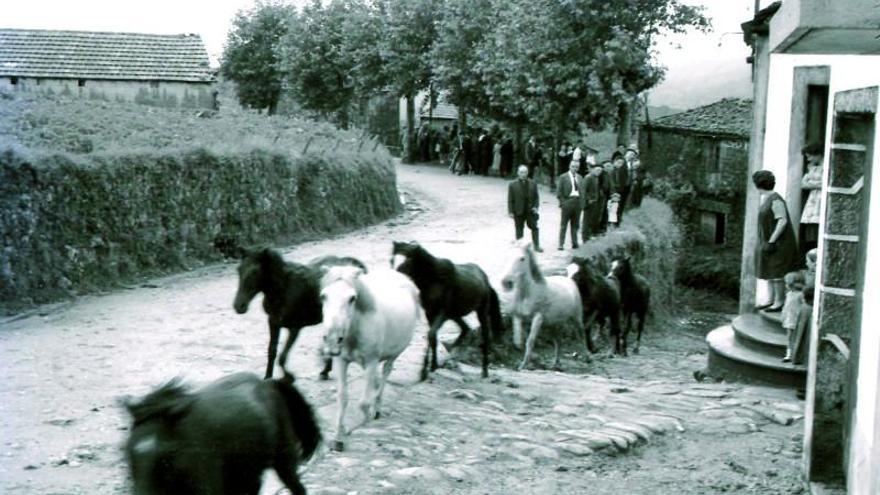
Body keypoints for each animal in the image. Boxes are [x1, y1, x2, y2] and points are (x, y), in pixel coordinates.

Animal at [232, 246, 366, 382]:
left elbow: (282, 357)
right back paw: (325, 371)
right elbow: (272, 351)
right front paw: (267, 377)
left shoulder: (294, 328)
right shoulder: (273, 322)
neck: (283, 289)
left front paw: (289, 376)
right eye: (239, 270)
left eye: (255, 272)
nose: (238, 306)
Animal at [320, 266, 422, 452]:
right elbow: (342, 398)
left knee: (386, 373)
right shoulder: (341, 362)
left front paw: (364, 419)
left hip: (392, 355)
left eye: (352, 298)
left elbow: (363, 403)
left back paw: (377, 408)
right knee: (375, 379)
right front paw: (338, 436)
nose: (332, 339)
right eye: (324, 296)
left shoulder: (371, 361)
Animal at [390, 242, 502, 382]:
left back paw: (484, 371)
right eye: (396, 258)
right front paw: (431, 367)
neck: (431, 280)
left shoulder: (442, 312)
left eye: (410, 257)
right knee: (466, 329)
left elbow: (431, 335)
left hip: (481, 311)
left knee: (485, 337)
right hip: (456, 314)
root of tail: (488, 283)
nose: (397, 272)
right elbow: (432, 338)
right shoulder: (430, 312)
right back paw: (452, 353)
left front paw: (425, 370)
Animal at [502, 242, 584, 370]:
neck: (528, 293)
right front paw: (533, 359)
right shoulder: (518, 317)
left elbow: (530, 341)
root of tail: (569, 279)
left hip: (576, 318)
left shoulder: (538, 317)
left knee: (581, 334)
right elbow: (518, 342)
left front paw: (523, 365)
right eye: (507, 256)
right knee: (558, 341)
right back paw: (556, 363)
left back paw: (588, 357)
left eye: (522, 258)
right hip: (553, 324)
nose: (506, 282)